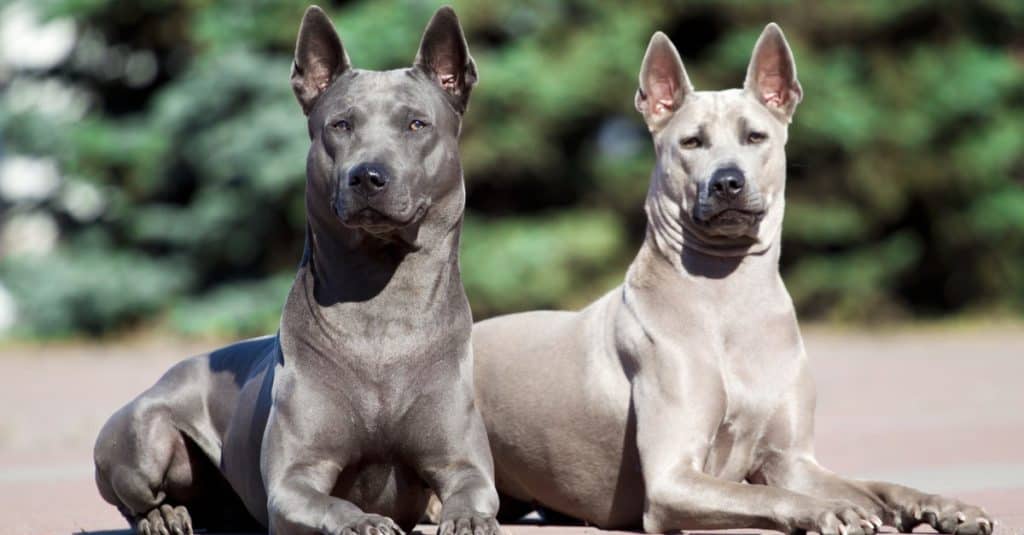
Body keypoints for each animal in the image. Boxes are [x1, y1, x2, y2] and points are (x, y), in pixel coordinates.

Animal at [92, 7, 499, 532]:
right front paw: (363, 521)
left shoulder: (462, 463)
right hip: (143, 434)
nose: (368, 176)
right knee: (136, 496)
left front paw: (467, 519)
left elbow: (472, 493)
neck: (383, 310)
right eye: (341, 125)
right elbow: (331, 503)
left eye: (416, 124)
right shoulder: (294, 480)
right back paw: (164, 515)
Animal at [468, 23, 991, 532]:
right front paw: (829, 512)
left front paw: (941, 506)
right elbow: (761, 494)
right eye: (691, 142)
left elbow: (877, 486)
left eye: (755, 137)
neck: (729, 297)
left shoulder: (793, 461)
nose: (727, 182)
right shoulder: (672, 479)